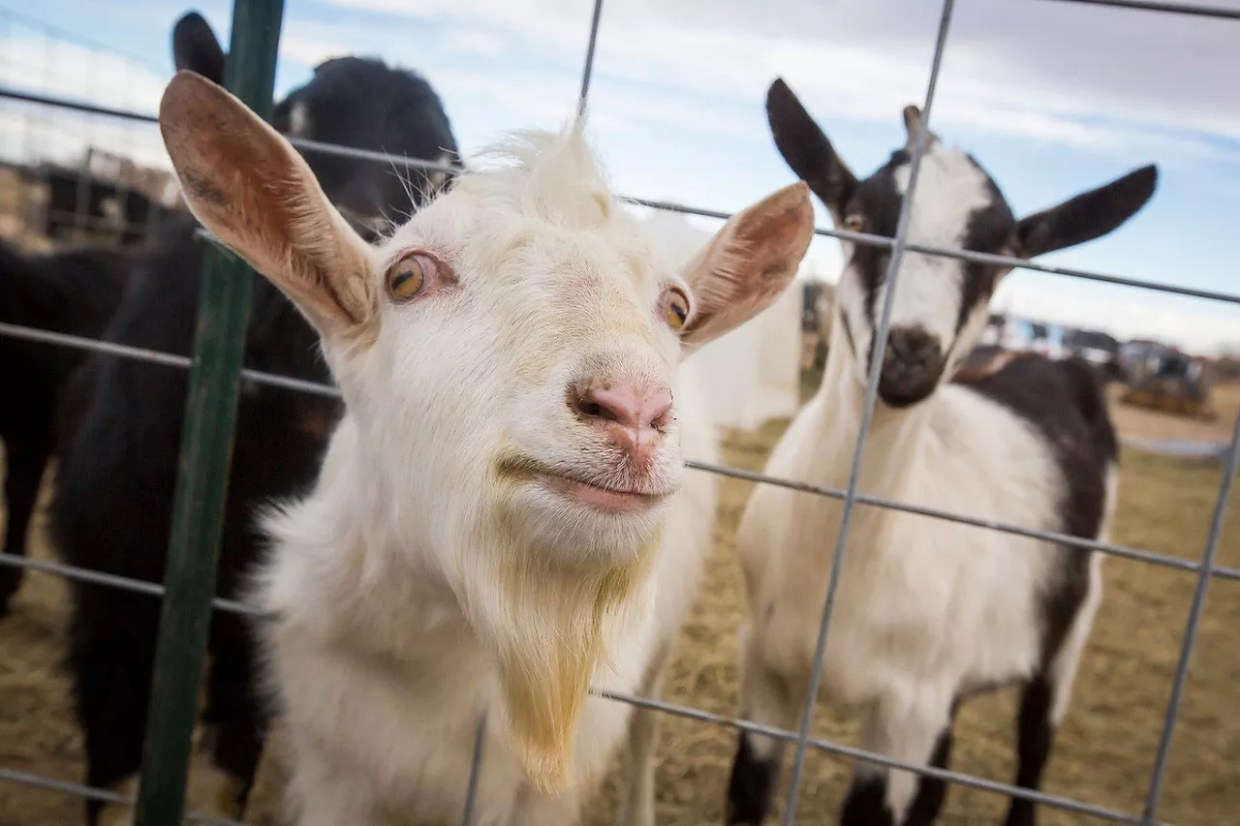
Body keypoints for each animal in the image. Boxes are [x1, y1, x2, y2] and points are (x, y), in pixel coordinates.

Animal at [46, 11, 462, 824]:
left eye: (439, 175)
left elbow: (227, 768)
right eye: (293, 120)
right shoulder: (112, 598)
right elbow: (113, 769)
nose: (364, 250)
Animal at [724, 79, 1157, 826]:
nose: (909, 351)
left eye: (1004, 253)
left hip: (1069, 629)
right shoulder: (767, 671)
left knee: (1033, 748)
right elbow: (747, 792)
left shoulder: (908, 715)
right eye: (859, 217)